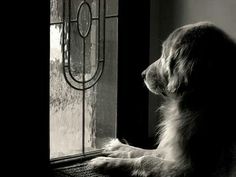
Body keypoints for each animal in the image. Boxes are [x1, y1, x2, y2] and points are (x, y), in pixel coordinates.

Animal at [88, 21, 236, 176]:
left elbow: (145, 160)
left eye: (165, 55)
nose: (142, 74)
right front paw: (119, 148)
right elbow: (146, 151)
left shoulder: (188, 167)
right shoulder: (173, 150)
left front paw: (106, 162)